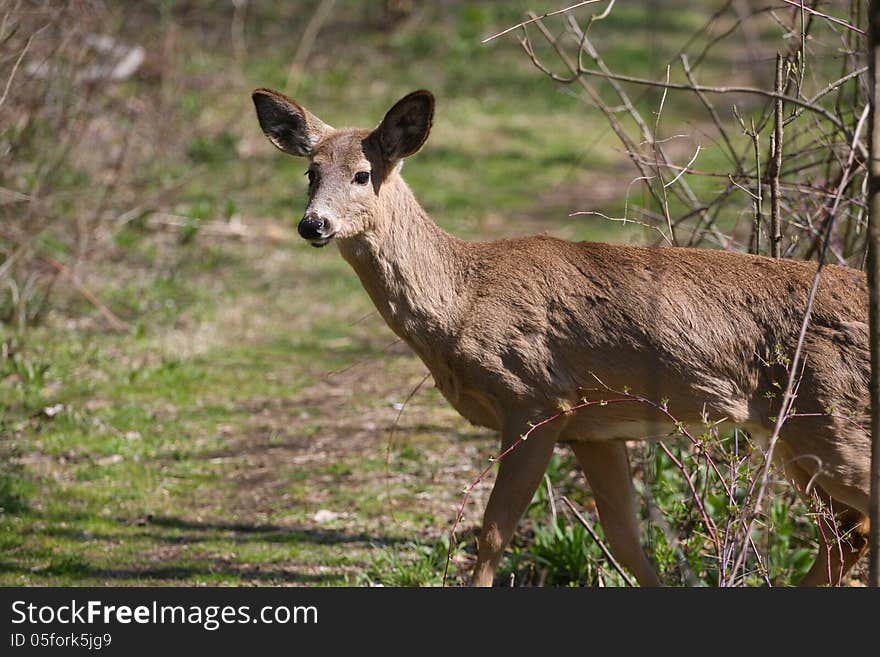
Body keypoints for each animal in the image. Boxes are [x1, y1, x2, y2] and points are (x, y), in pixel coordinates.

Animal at [251, 86, 868, 584]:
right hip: (794, 429)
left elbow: (492, 536)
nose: (313, 224)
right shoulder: (596, 427)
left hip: (830, 419)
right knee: (848, 531)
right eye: (310, 173)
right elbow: (627, 543)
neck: (462, 300)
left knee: (855, 523)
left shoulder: (534, 399)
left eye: (363, 174)